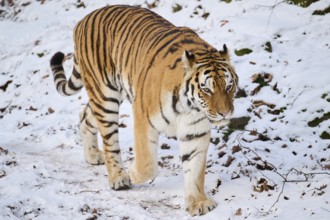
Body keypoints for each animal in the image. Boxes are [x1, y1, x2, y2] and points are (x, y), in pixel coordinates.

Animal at [49, 4, 237, 216]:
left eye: (229, 86)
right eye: (206, 89)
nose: (225, 113)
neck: (189, 107)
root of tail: (84, 19)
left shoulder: (195, 131)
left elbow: (195, 169)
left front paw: (198, 202)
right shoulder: (143, 117)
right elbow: (147, 165)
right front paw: (131, 173)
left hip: (105, 96)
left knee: (84, 116)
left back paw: (92, 156)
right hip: (105, 96)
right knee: (110, 141)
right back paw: (118, 177)